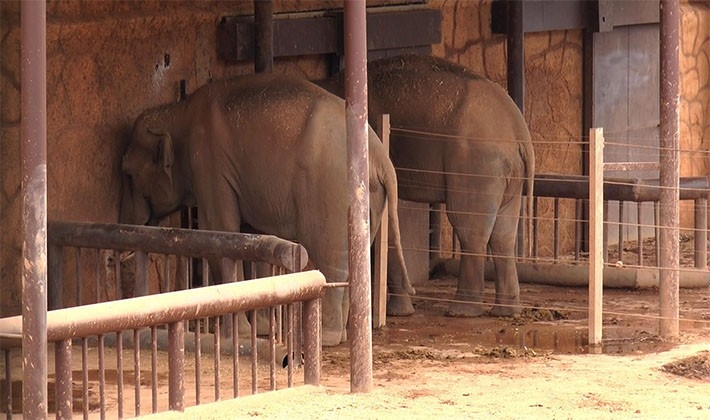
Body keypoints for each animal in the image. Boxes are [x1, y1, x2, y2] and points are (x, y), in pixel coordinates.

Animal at [119, 73, 414, 348]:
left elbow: (220, 231)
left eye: (129, 174)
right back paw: (339, 335)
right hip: (369, 198)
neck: (178, 112)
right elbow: (256, 241)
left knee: (330, 258)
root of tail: (381, 158)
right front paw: (259, 328)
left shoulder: (209, 163)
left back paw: (325, 338)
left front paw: (235, 333)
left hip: (331, 189)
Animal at [320, 55, 536, 318]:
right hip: (508, 174)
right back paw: (506, 312)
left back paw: (460, 311)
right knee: (503, 235)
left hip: (477, 166)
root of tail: (519, 131)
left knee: (468, 228)